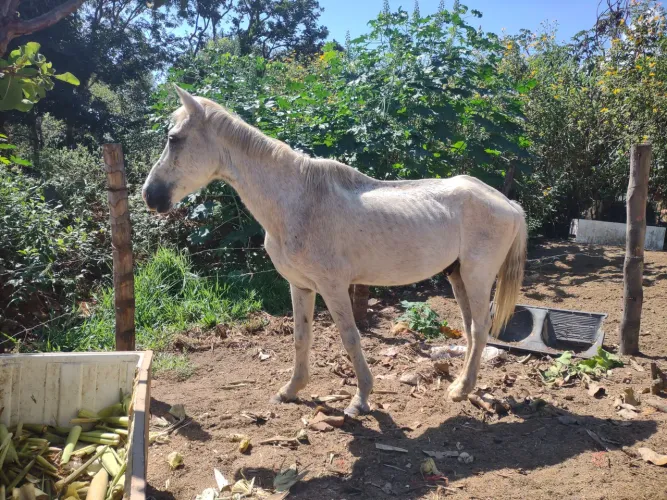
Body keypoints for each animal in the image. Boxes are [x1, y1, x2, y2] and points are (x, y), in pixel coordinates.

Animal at [142, 86, 527, 417]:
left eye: (174, 138)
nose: (150, 196)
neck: (298, 201)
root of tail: (507, 203)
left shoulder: (333, 287)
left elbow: (350, 338)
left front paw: (361, 399)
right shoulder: (300, 286)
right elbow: (301, 337)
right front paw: (291, 390)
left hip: (477, 276)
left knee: (480, 328)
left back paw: (462, 389)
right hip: (457, 276)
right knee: (471, 329)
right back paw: (462, 386)